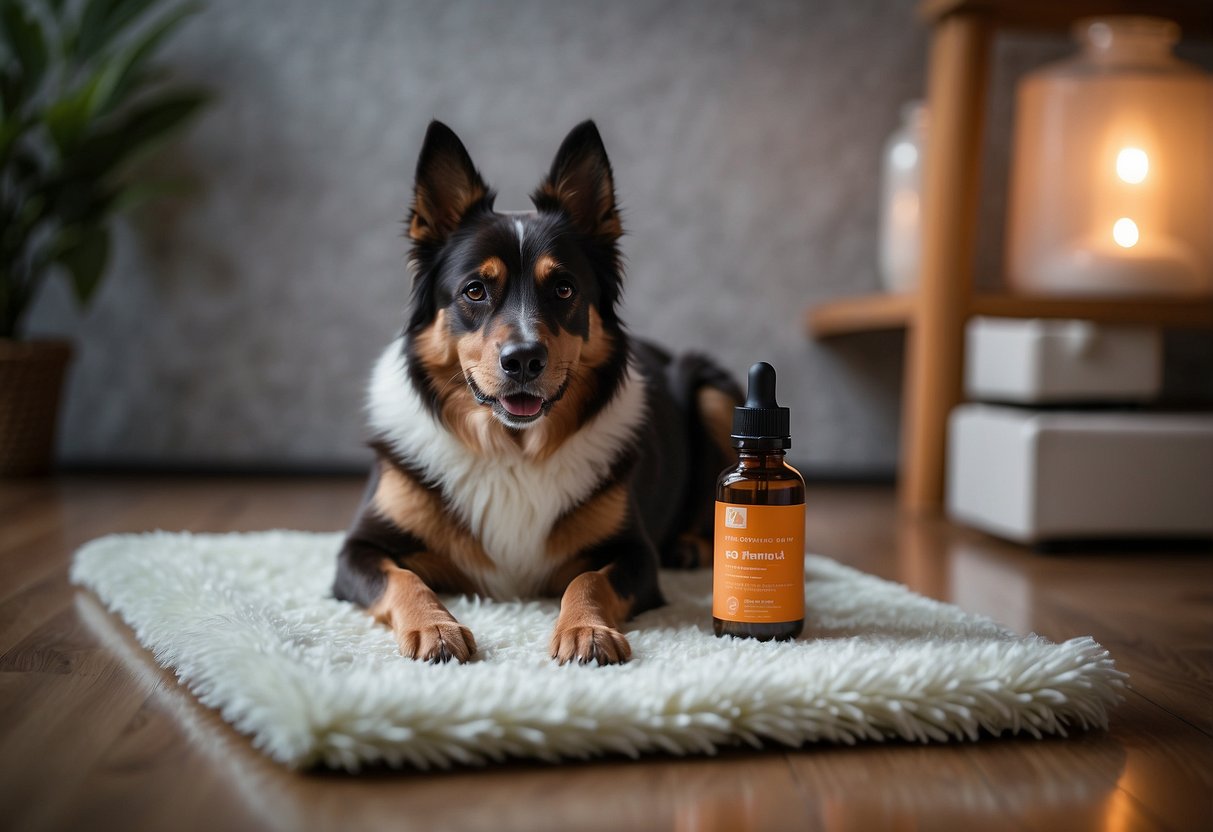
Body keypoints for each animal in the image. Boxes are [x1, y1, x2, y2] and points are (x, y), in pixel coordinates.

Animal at [337, 120, 742, 669]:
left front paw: (585, 629)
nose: (524, 360)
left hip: (713, 393)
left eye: (565, 289)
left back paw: (693, 547)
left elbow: (588, 579)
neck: (512, 448)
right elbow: (404, 578)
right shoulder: (356, 549)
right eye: (474, 290)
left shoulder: (635, 554)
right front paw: (435, 626)